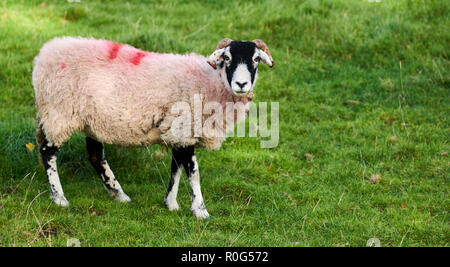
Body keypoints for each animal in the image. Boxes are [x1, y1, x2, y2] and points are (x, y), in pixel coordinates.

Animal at [32, 36, 274, 220]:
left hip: (90, 121)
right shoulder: (185, 127)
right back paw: (59, 198)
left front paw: (171, 204)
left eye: (255, 59)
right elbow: (193, 172)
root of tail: (43, 54)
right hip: (59, 113)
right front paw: (200, 210)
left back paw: (119, 195)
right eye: (227, 57)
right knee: (48, 152)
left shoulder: (177, 131)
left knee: (95, 156)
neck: (210, 83)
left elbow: (176, 168)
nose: (241, 85)